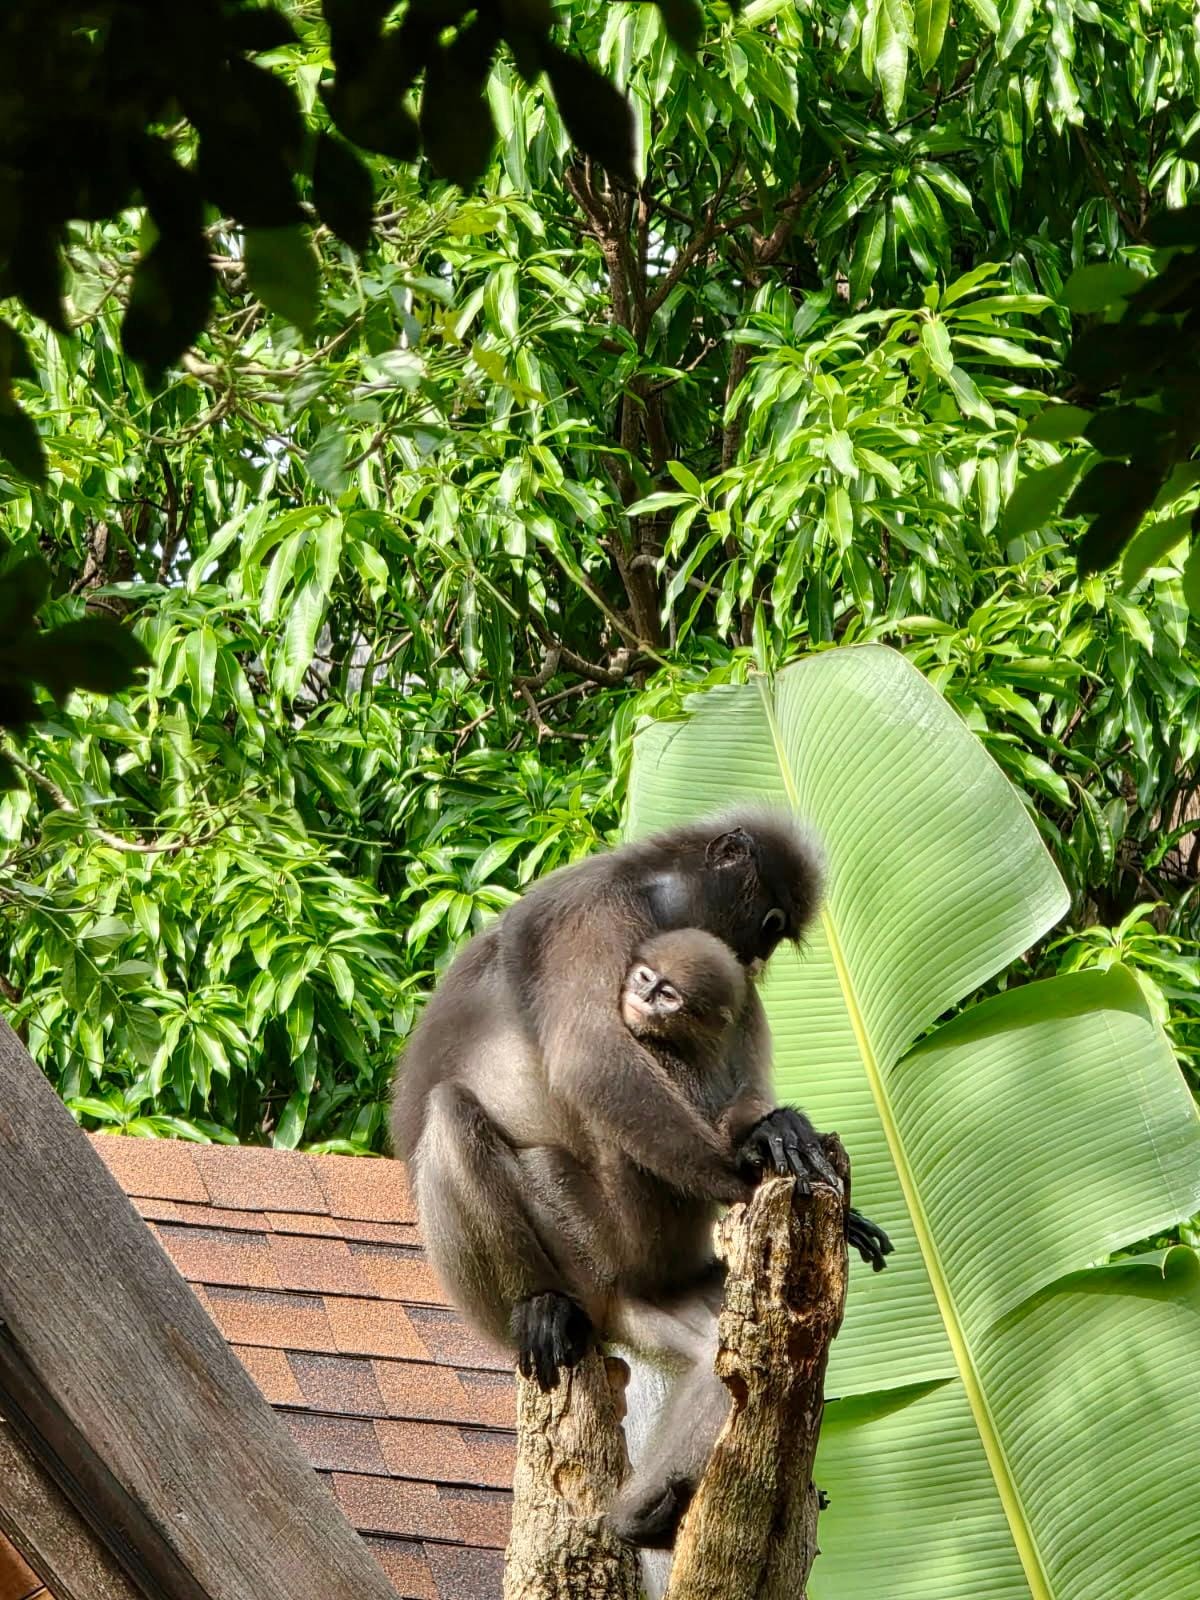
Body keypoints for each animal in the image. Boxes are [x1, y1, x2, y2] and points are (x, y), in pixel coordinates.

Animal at [391, 810, 892, 1547]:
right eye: (770, 920)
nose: (760, 953)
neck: (652, 886)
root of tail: (615, 1302)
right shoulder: (591, 912)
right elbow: (590, 1058)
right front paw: (744, 1170)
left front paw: (783, 1141)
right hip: (585, 1237)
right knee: (453, 1113)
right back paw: (539, 1306)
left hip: (666, 1290)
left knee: (723, 1350)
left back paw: (655, 1507)